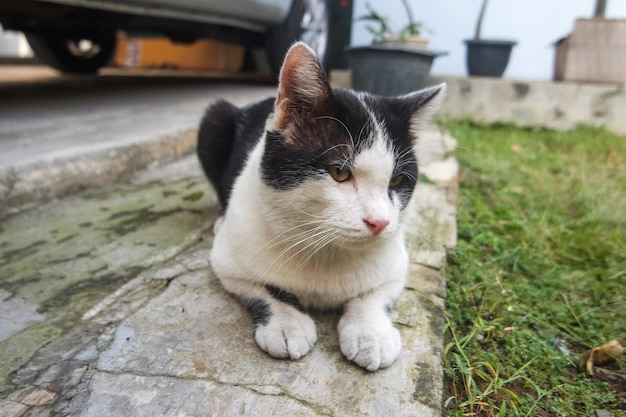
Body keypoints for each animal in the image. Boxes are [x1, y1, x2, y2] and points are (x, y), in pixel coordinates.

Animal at [196, 42, 444, 370]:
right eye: (339, 172)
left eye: (397, 180)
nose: (380, 222)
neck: (326, 250)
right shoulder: (229, 262)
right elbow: (261, 287)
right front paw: (286, 323)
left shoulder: (397, 264)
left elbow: (376, 294)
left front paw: (372, 334)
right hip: (214, 120)